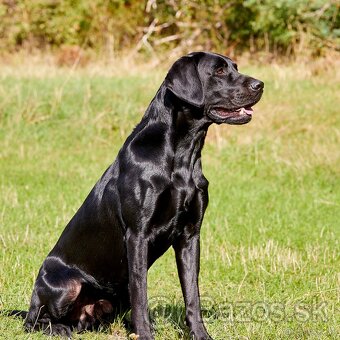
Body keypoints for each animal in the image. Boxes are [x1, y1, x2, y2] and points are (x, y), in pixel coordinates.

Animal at [21, 51, 262, 338]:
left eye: (235, 67)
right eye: (219, 71)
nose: (260, 84)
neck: (182, 155)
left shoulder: (190, 235)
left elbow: (192, 294)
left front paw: (200, 334)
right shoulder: (137, 235)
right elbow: (141, 294)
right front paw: (146, 334)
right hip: (64, 284)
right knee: (33, 320)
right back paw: (58, 328)